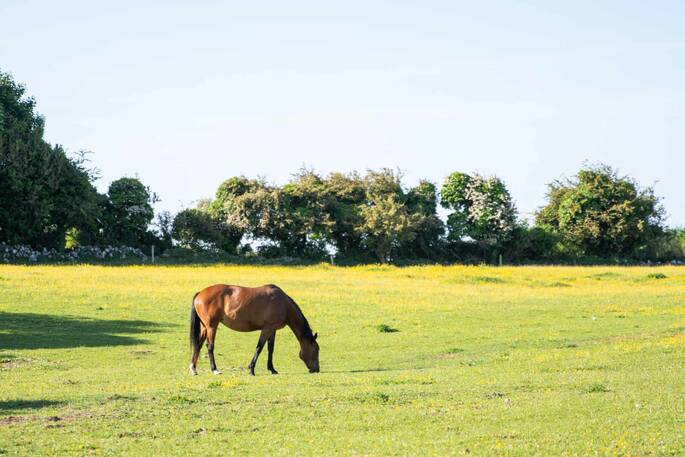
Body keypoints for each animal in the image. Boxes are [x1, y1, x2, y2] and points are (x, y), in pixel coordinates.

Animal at [189, 284, 319, 376]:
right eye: (316, 350)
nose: (316, 369)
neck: (283, 304)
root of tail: (200, 293)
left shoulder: (273, 330)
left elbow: (270, 349)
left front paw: (272, 369)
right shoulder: (267, 328)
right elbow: (259, 348)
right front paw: (251, 369)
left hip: (205, 327)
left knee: (198, 345)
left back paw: (193, 368)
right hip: (212, 326)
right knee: (210, 346)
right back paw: (215, 369)